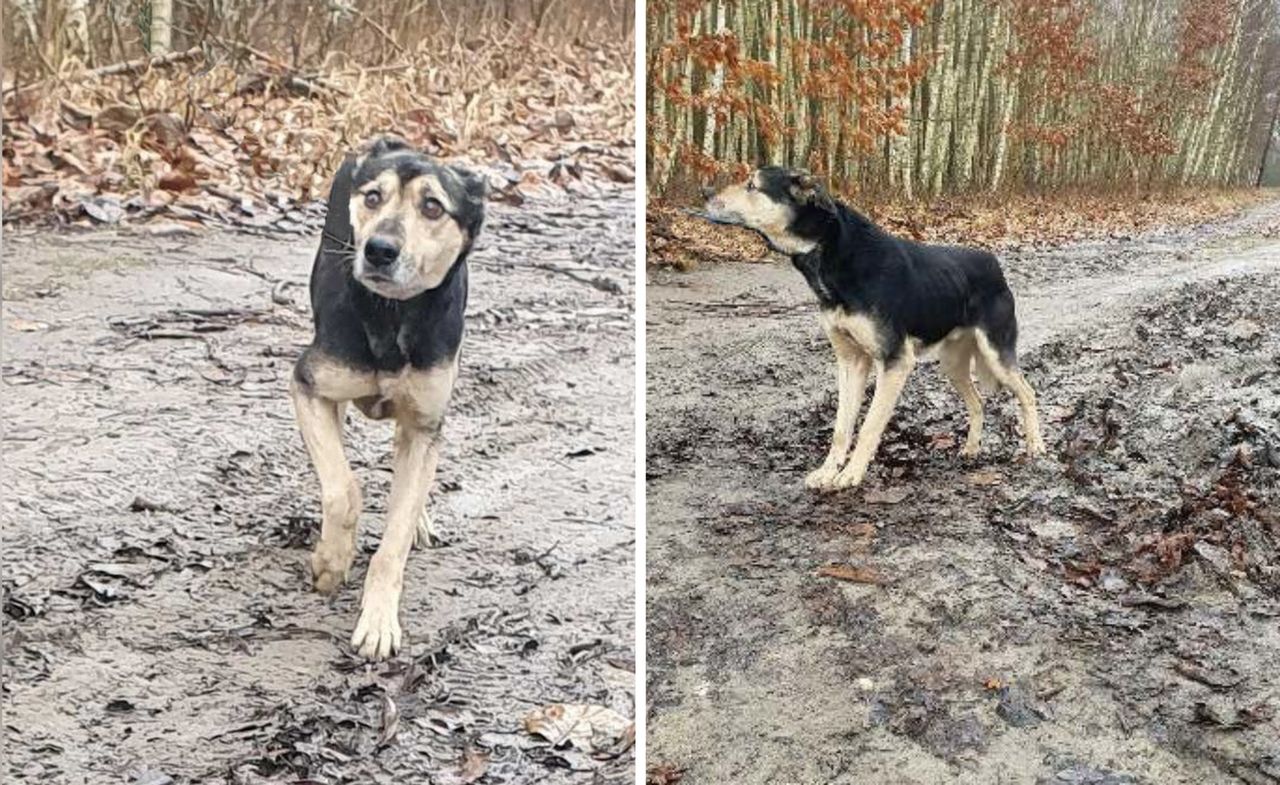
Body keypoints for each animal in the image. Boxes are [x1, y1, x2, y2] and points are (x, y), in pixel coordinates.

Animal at [293, 136, 486, 660]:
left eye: (433, 206)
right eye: (373, 197)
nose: (379, 249)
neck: (393, 314)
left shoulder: (425, 422)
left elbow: (393, 541)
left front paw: (379, 619)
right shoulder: (309, 385)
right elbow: (343, 491)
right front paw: (331, 560)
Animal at [706, 166, 1044, 489]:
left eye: (752, 185)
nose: (705, 192)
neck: (831, 251)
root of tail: (993, 263)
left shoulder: (895, 362)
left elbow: (868, 427)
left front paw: (851, 474)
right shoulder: (851, 361)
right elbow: (841, 428)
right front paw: (828, 471)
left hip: (996, 353)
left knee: (1028, 393)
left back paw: (1035, 446)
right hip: (952, 363)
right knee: (977, 403)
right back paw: (972, 448)